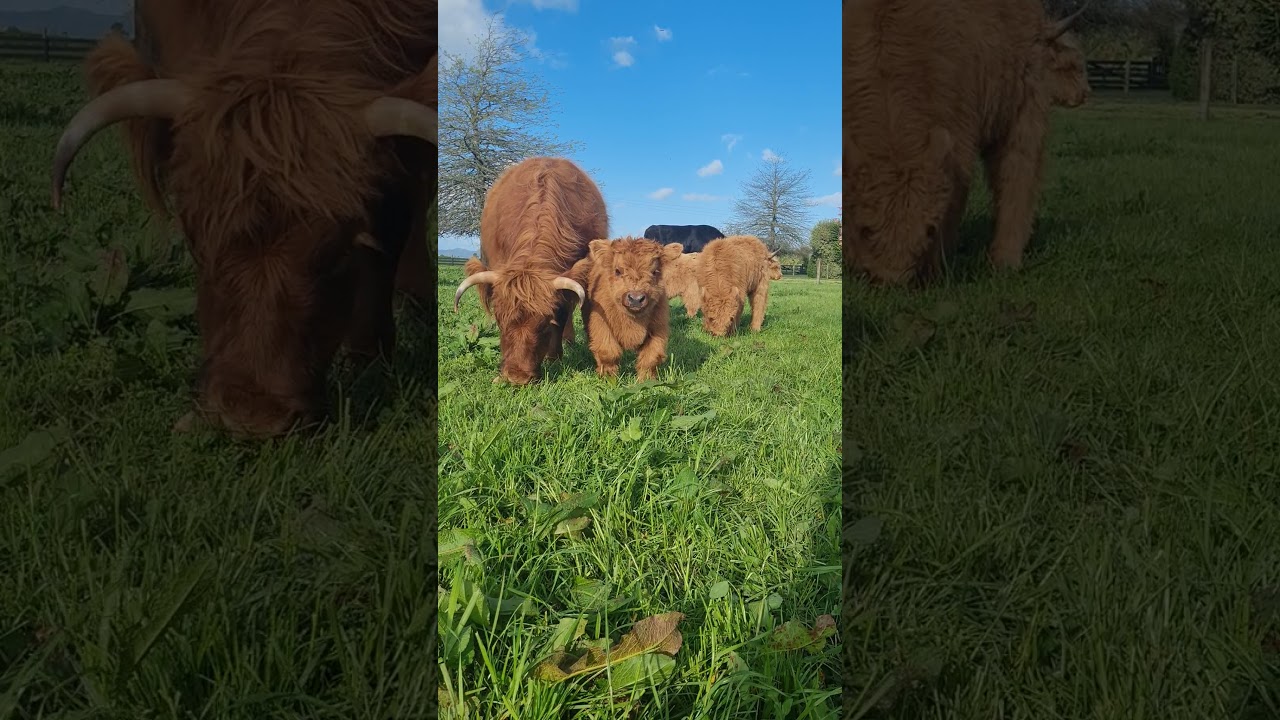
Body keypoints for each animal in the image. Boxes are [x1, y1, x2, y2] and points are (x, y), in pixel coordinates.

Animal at [569, 238, 684, 381]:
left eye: (655, 272)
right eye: (618, 271)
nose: (636, 298)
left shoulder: (658, 329)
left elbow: (651, 358)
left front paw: (646, 381)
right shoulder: (602, 326)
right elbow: (608, 353)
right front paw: (608, 379)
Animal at [844, 0, 1090, 286]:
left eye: (929, 230)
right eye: (865, 230)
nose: (892, 281)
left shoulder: (961, 142)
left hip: (1024, 110)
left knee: (1017, 178)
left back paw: (1005, 261)